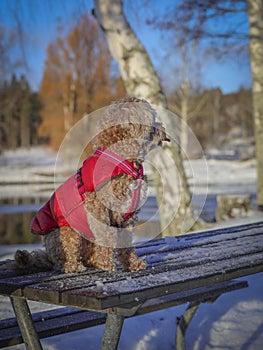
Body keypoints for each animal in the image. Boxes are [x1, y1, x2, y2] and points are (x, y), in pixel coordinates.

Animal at [14, 96, 170, 274]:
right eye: (152, 116)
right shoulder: (99, 211)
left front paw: (133, 264)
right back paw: (74, 266)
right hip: (69, 233)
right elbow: (106, 236)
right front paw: (108, 264)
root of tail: (47, 255)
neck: (122, 160)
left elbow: (127, 243)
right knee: (63, 260)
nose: (163, 130)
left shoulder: (128, 215)